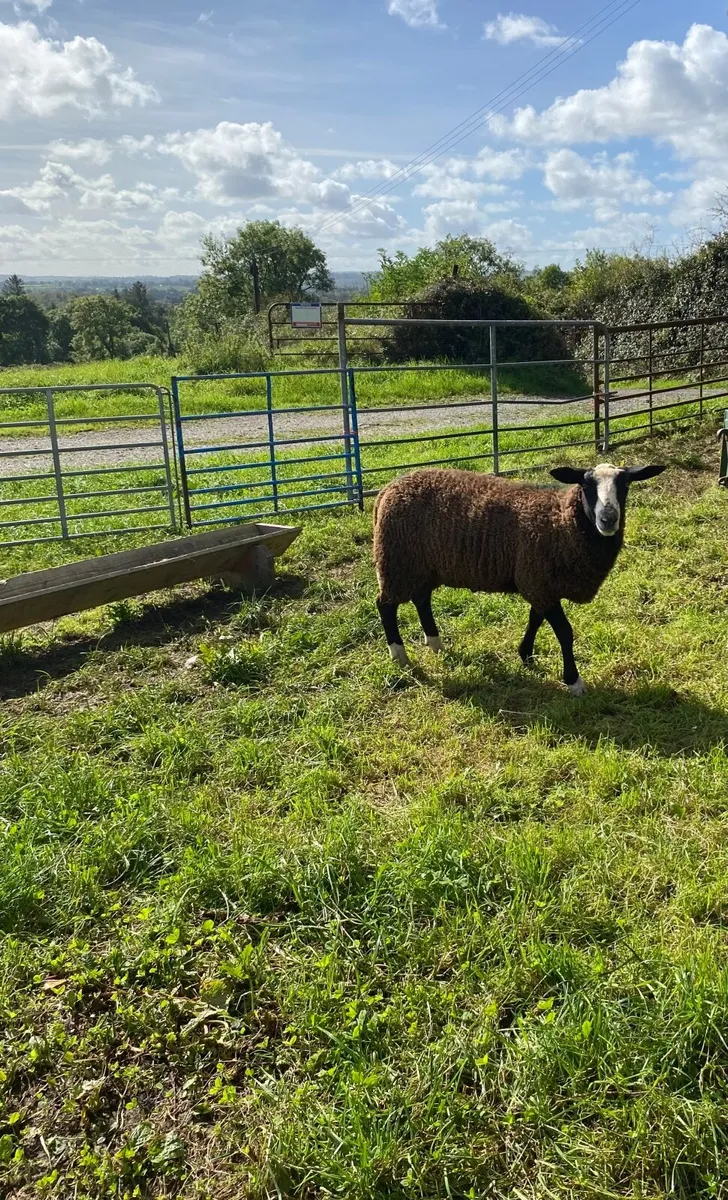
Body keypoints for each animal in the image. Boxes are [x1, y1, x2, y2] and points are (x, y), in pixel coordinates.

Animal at [373, 462, 666, 694]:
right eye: (586, 485)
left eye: (625, 486)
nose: (608, 519)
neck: (560, 520)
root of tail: (387, 489)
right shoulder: (538, 582)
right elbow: (564, 632)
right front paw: (574, 681)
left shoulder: (540, 583)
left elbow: (535, 619)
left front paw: (526, 655)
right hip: (396, 562)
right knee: (385, 605)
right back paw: (399, 656)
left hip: (422, 567)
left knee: (422, 600)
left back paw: (436, 644)